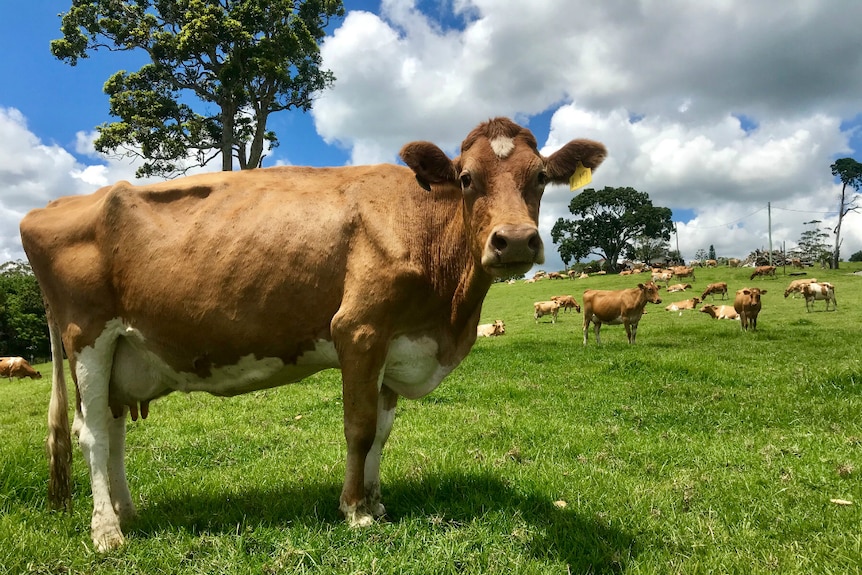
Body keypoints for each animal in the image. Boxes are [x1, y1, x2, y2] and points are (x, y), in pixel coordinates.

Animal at [16, 115, 604, 552]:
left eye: (540, 178)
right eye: (466, 179)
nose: (516, 241)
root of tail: (50, 207)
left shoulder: (395, 344)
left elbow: (383, 432)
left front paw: (376, 501)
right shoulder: (360, 329)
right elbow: (359, 429)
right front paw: (355, 511)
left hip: (121, 351)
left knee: (113, 431)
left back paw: (128, 513)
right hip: (87, 339)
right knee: (91, 434)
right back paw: (107, 531)